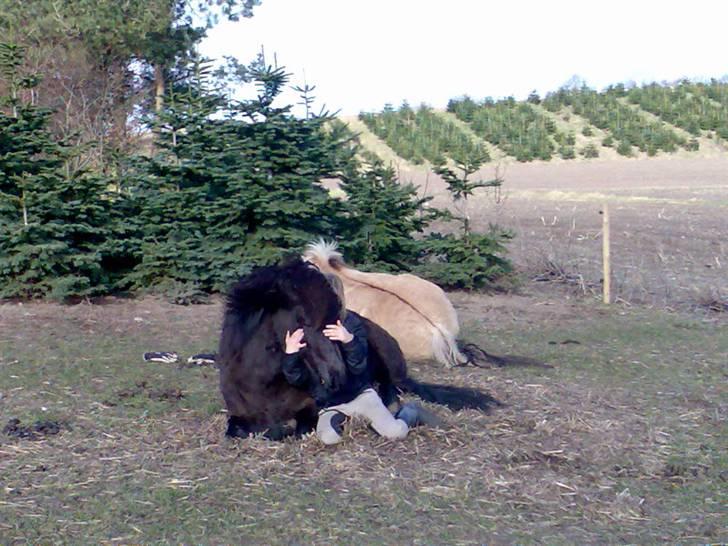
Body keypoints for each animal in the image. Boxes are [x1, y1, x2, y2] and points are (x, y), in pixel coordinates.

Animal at [219, 258, 498, 440]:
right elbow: (239, 429)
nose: (337, 375)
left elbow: (291, 427)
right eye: (303, 321)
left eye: (336, 320)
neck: (265, 383)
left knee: (393, 391)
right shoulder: (238, 414)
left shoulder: (310, 411)